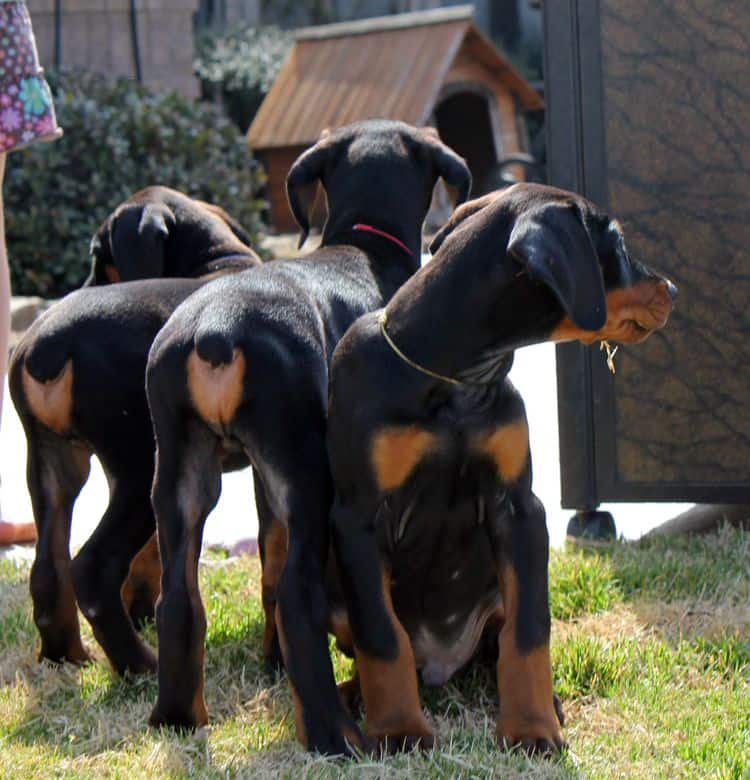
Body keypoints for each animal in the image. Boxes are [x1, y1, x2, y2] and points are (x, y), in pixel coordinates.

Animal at [145, 120, 470, 748]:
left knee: (182, 596)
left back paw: (177, 717)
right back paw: (334, 736)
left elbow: (267, 559)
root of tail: (214, 331)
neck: (366, 245)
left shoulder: (262, 478)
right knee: (298, 596)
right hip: (306, 469)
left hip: (181, 463)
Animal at [326, 184, 680, 756]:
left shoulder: (519, 509)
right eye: (619, 245)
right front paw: (399, 729)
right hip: (336, 592)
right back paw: (352, 696)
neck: (454, 377)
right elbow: (381, 635)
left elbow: (529, 630)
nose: (672, 287)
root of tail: (440, 662)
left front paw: (532, 727)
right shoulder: (358, 518)